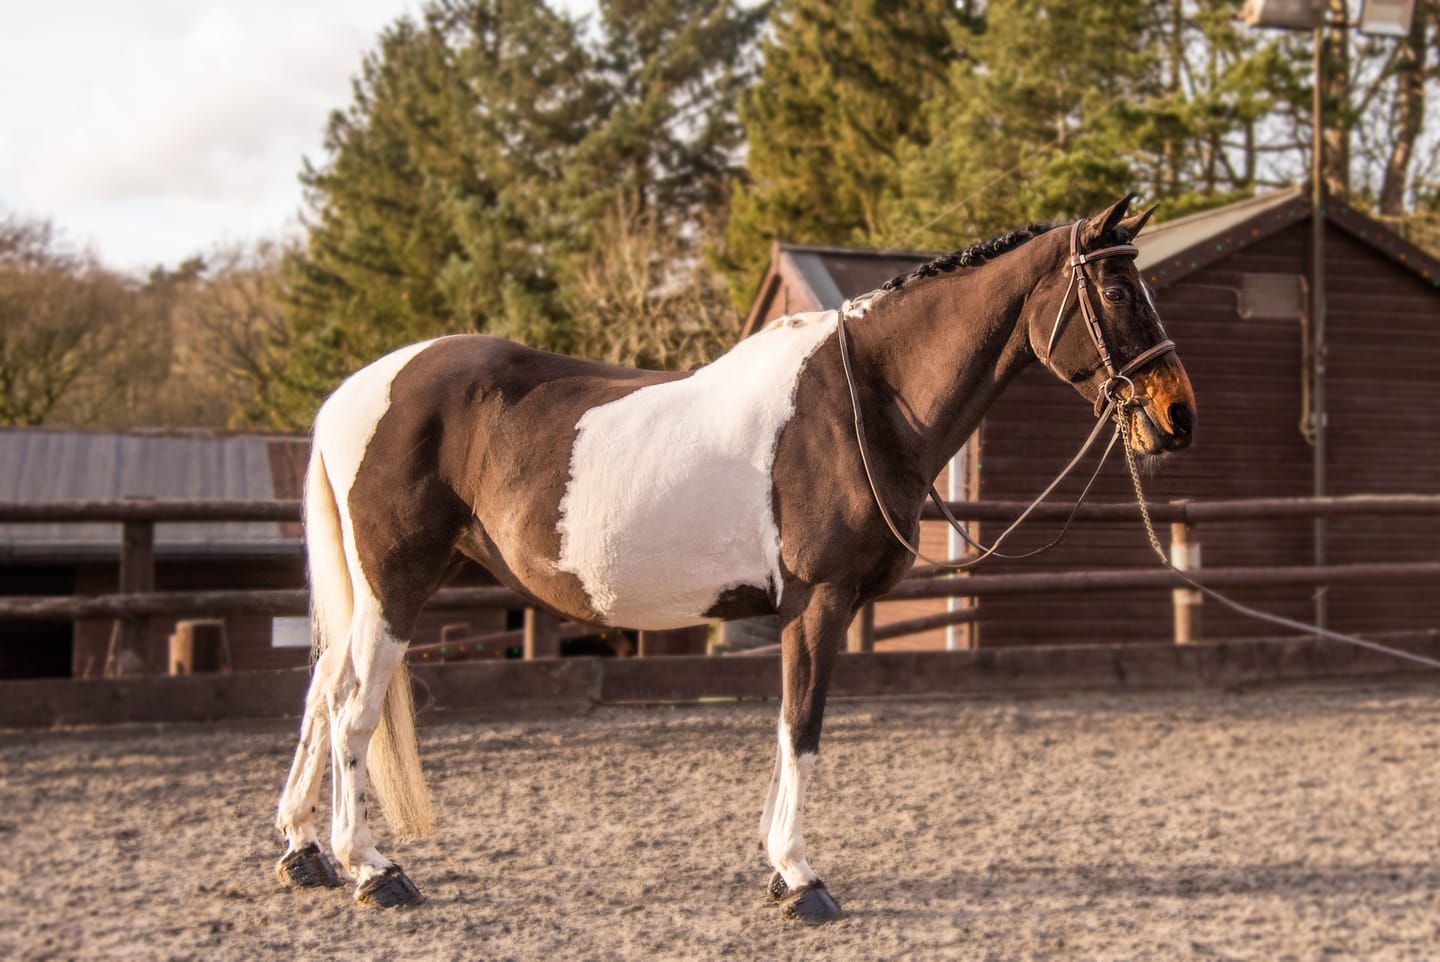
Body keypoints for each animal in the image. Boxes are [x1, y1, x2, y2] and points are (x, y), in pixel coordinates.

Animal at [273, 194, 1196, 924]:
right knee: (352, 709)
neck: (861, 403)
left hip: (371, 594)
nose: (1177, 415)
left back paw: (303, 850)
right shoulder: (819, 602)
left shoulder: (797, 611)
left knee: (320, 694)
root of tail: (356, 392)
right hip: (396, 585)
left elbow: (786, 729)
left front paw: (777, 867)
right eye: (1119, 290)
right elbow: (804, 725)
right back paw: (372, 869)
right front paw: (801, 877)